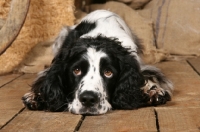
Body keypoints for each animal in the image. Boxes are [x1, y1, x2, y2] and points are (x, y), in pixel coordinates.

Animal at [21, 9, 172, 114]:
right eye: (76, 70)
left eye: (108, 72)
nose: (88, 99)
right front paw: (36, 96)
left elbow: (149, 77)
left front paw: (153, 92)